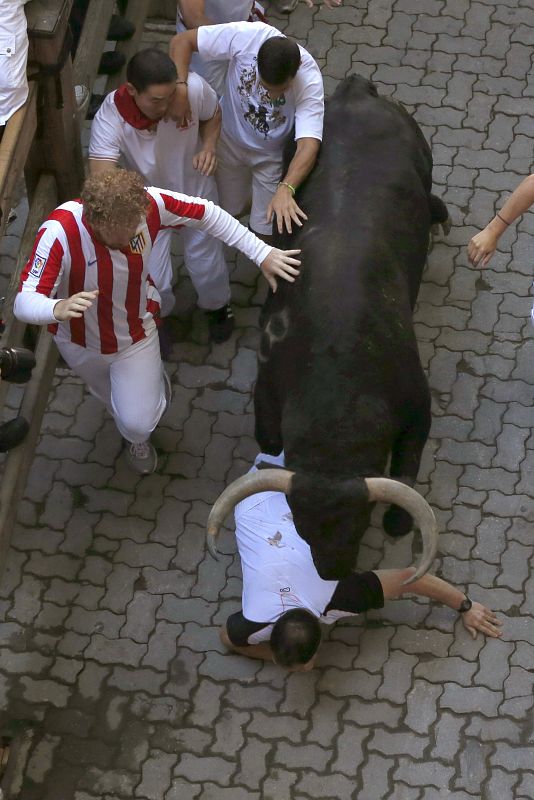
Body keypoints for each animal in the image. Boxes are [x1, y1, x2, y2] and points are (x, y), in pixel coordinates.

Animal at [253, 75, 450, 580]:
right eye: (298, 521)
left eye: (361, 521)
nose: (333, 572)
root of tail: (357, 90)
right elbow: (268, 437)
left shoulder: (418, 407)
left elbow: (407, 466)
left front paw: (398, 521)